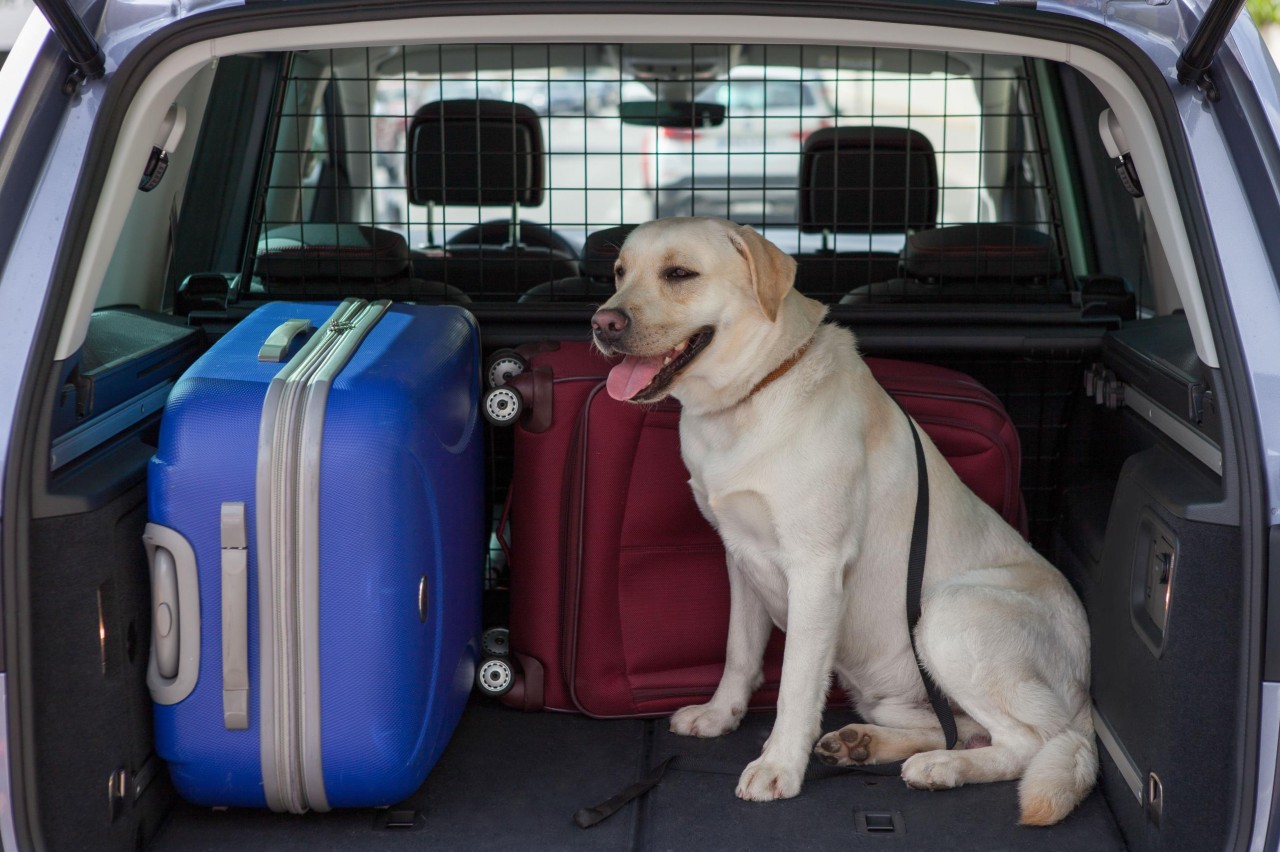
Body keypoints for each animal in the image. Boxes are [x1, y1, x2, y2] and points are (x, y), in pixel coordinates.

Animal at [591, 217, 1100, 823]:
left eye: (679, 274)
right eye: (619, 273)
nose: (602, 323)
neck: (752, 394)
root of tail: (1086, 697)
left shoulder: (815, 570)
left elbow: (794, 685)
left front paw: (778, 767)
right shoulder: (739, 554)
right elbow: (738, 652)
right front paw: (720, 715)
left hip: (944, 617)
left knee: (1028, 742)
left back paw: (940, 768)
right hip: (897, 688)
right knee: (962, 727)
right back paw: (866, 744)